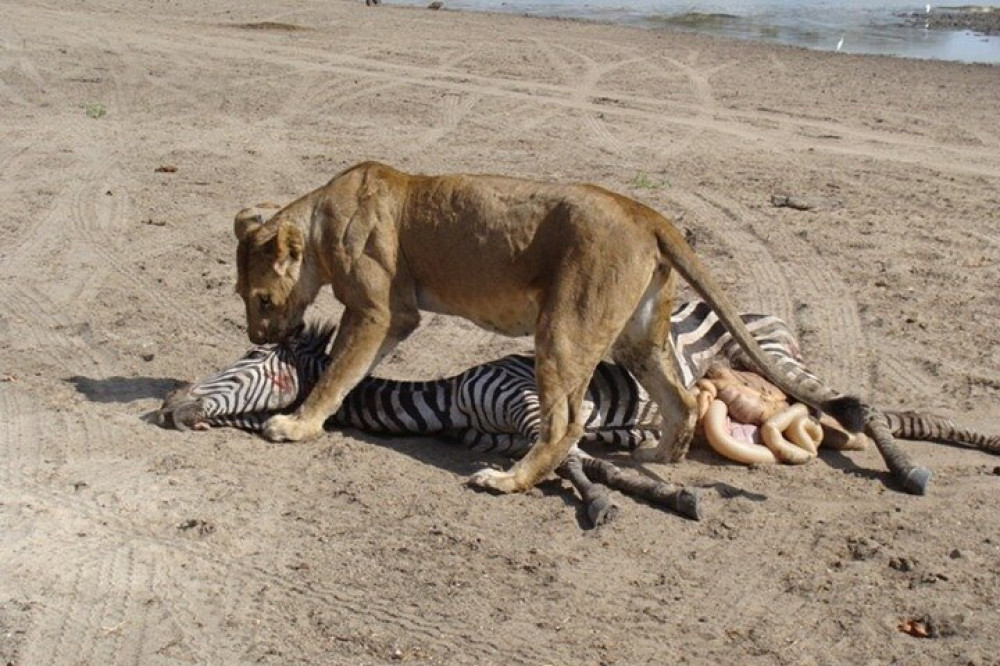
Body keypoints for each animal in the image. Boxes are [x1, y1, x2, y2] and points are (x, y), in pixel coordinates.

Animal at [157, 301, 998, 523]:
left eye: (242, 363)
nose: (167, 409)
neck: (447, 400)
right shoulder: (507, 429)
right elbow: (584, 462)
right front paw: (665, 495)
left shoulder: (528, 405)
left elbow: (572, 466)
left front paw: (605, 506)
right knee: (859, 416)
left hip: (774, 364)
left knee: (868, 407)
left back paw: (912, 472)